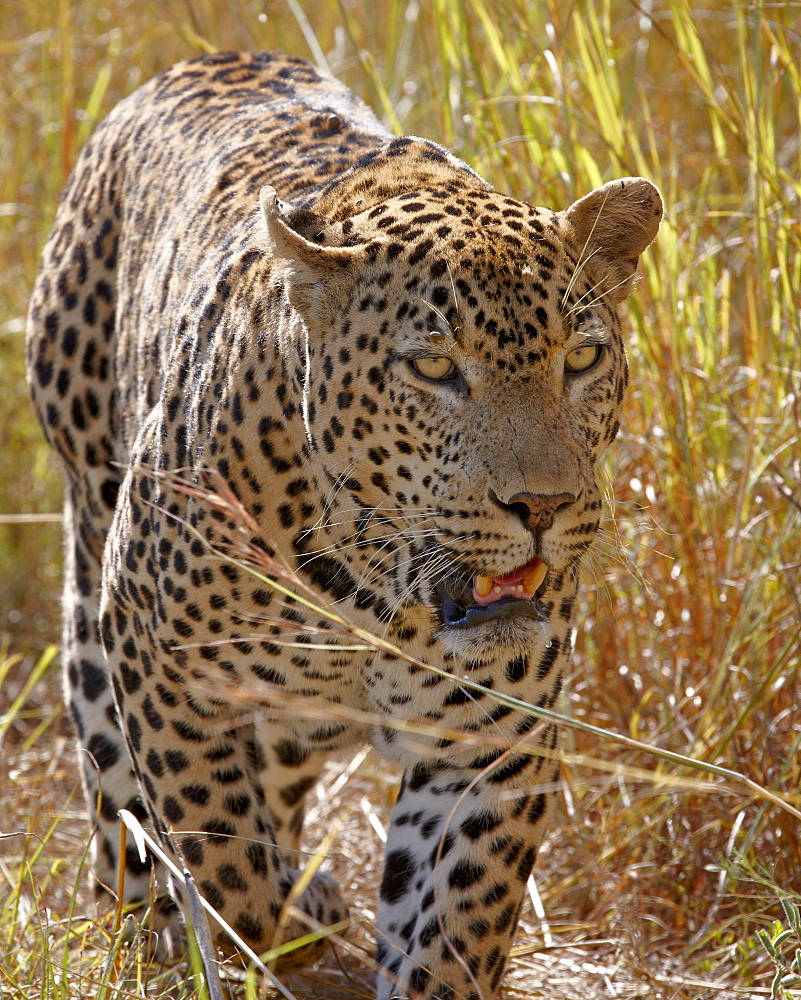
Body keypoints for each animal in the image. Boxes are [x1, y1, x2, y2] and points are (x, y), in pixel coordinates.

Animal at [26, 48, 664, 1000]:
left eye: (582, 358)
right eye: (433, 369)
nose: (543, 506)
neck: (379, 592)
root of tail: (206, 58)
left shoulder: (491, 739)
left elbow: (451, 932)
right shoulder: (167, 668)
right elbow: (226, 864)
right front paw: (255, 937)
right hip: (91, 547)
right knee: (115, 777)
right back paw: (144, 919)